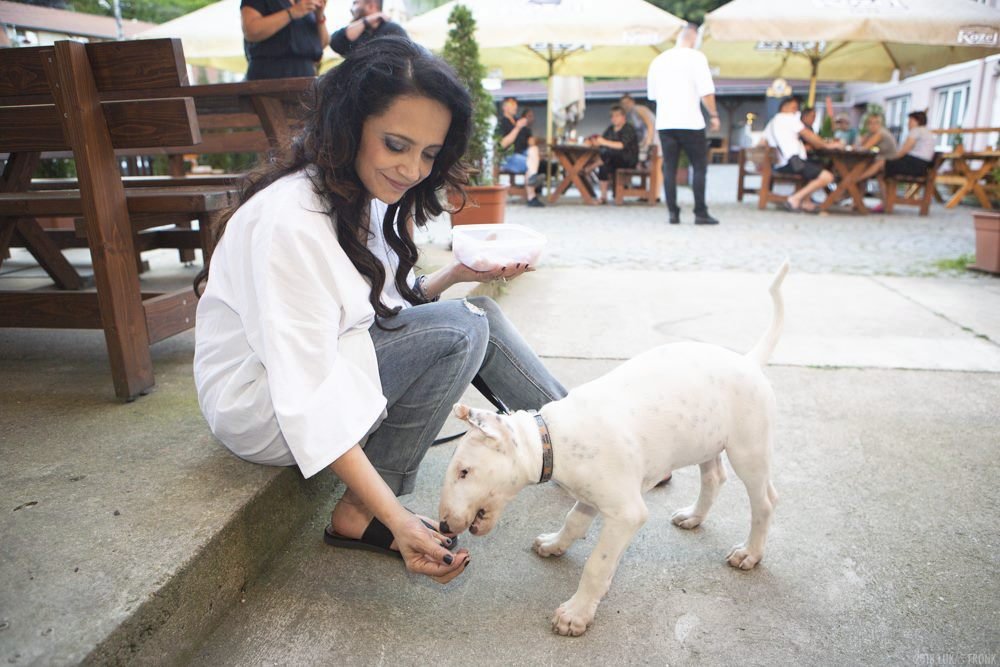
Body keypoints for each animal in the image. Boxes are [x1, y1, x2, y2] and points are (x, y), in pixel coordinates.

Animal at [438, 260, 788, 636]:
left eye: (464, 472)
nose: (442, 527)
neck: (553, 439)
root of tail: (749, 361)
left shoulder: (626, 513)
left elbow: (597, 564)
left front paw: (576, 613)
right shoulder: (590, 496)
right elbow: (573, 521)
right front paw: (554, 544)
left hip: (749, 450)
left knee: (765, 501)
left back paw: (749, 553)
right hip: (705, 440)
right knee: (714, 478)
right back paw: (694, 516)